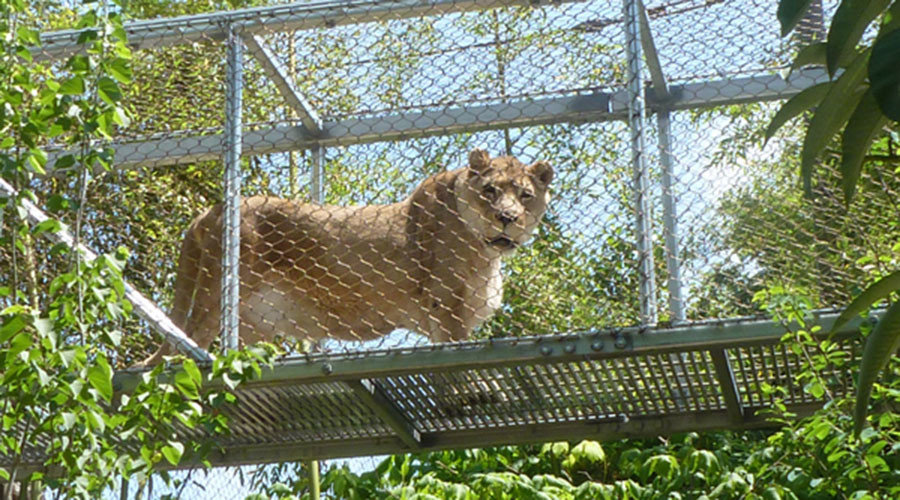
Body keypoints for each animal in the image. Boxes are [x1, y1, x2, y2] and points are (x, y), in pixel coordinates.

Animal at [140, 148, 552, 365]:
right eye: (490, 190)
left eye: (525, 195)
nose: (507, 217)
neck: (483, 250)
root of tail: (207, 212)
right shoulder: (445, 302)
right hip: (216, 294)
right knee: (187, 342)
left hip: (253, 321)